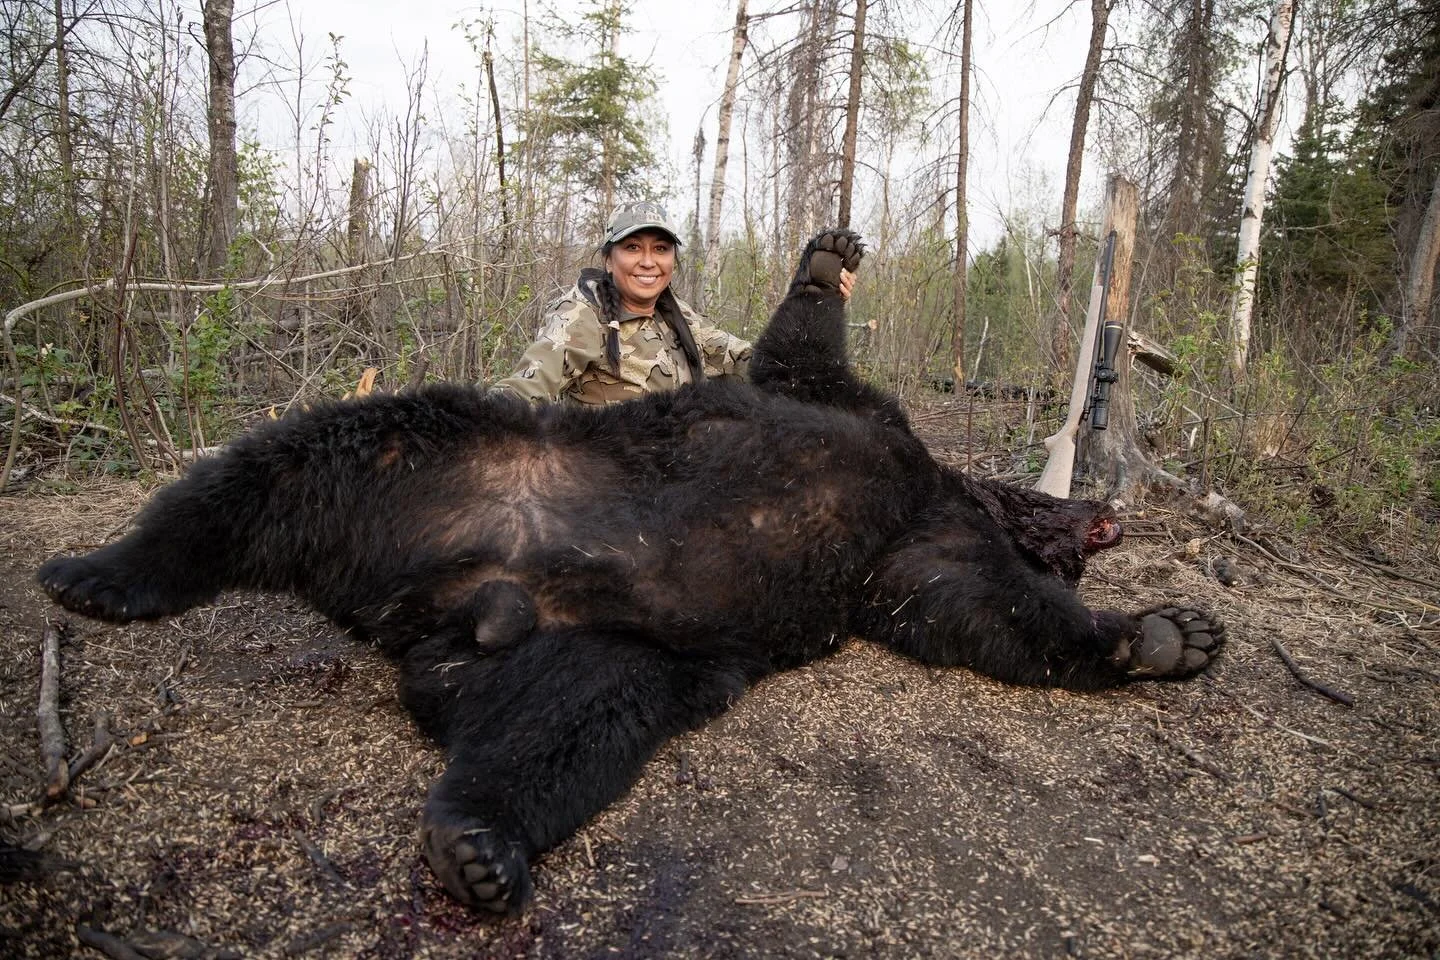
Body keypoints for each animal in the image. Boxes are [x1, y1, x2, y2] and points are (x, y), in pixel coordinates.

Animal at [38, 229, 1225, 916]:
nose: (1111, 515)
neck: (958, 486)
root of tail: (445, 610)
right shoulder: (860, 426)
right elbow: (800, 354)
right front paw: (826, 257)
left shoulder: (909, 545)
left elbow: (980, 609)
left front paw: (1166, 634)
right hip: (431, 454)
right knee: (280, 467)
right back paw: (98, 573)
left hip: (611, 649)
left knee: (565, 725)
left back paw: (478, 845)